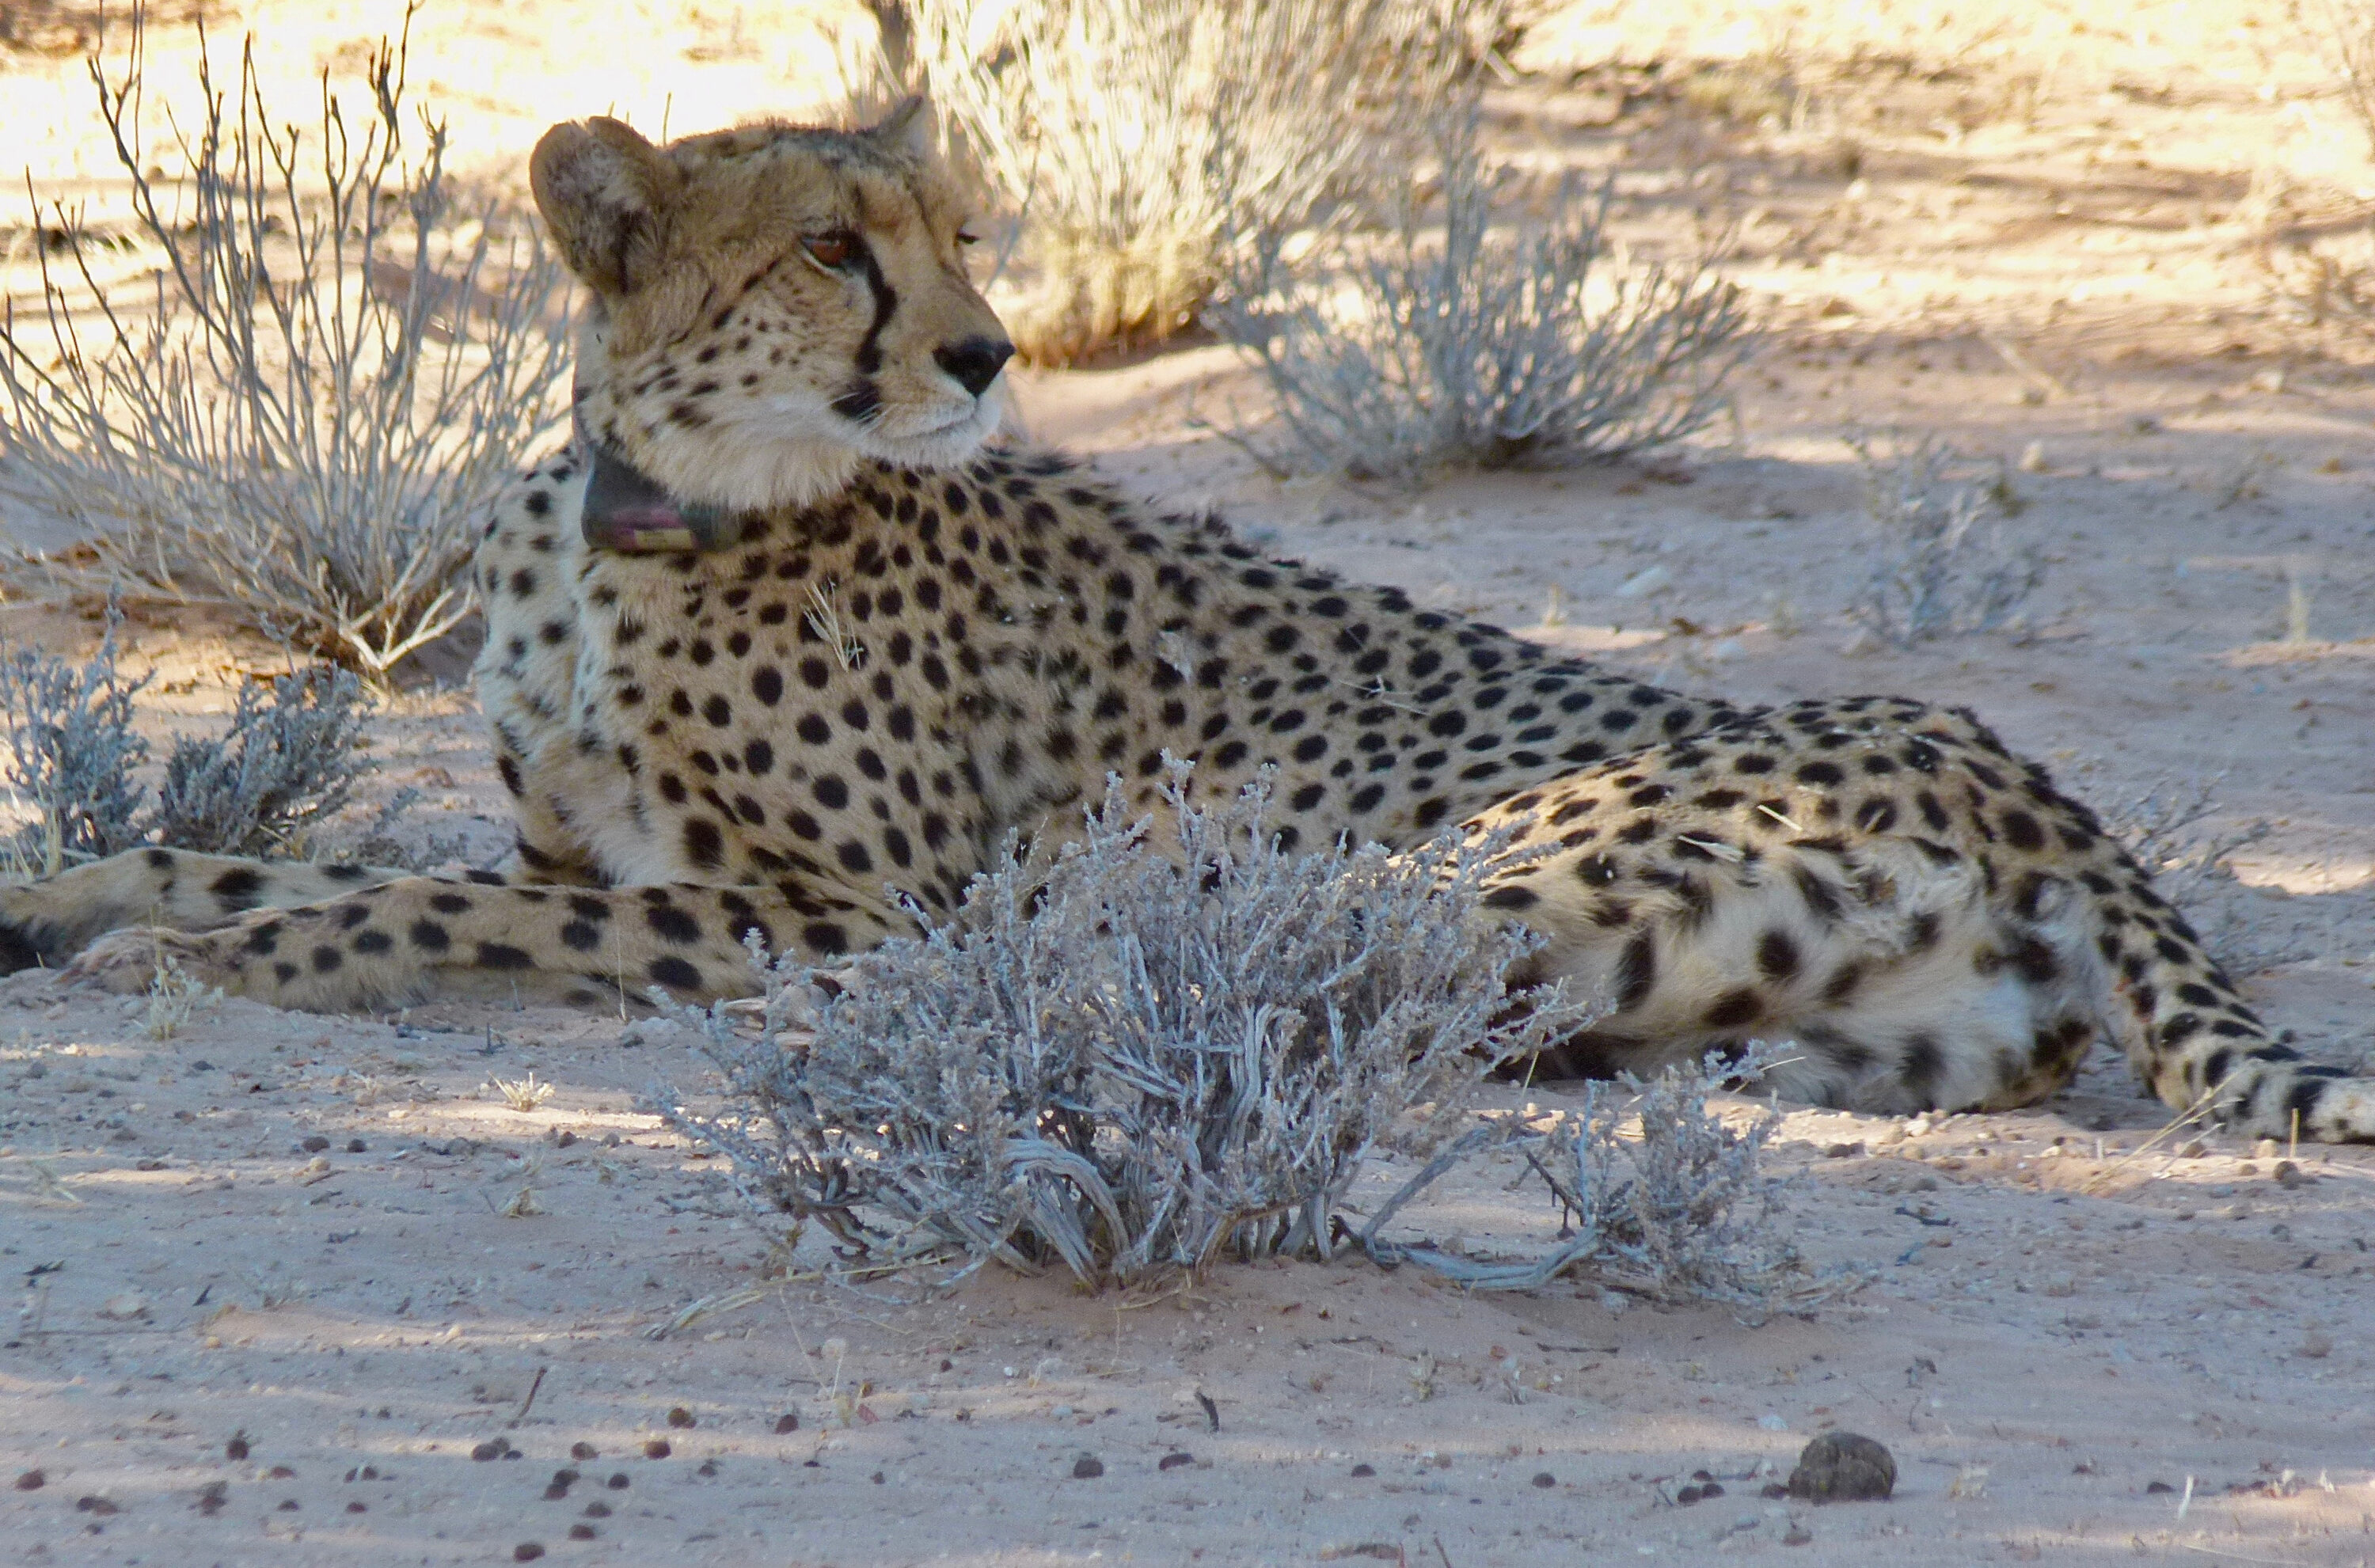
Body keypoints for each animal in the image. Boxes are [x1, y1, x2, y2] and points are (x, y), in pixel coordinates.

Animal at [4, 100, 2368, 1142]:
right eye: (831, 248)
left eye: (959, 234)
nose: (983, 354)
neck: (648, 515)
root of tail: (2005, 754)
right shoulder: (587, 843)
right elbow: (265, 853)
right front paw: (70, 898)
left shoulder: (827, 909)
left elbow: (398, 907)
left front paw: (168, 966)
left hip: (1424, 865)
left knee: (1249, 990)